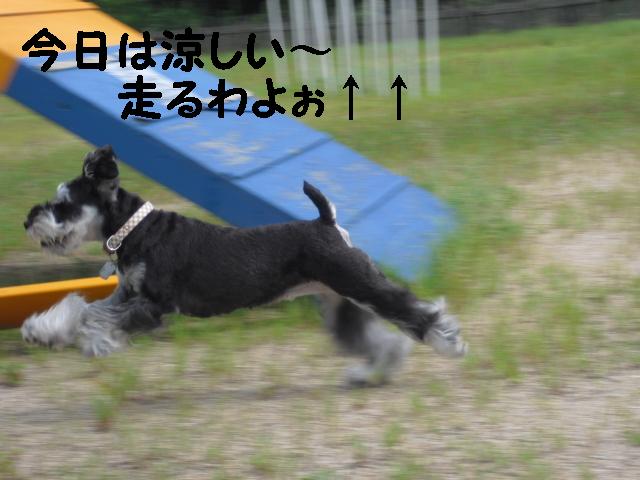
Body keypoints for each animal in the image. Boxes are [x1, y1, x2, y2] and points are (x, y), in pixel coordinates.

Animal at [21, 145, 467, 385]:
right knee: (378, 339)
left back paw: (451, 344)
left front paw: (94, 342)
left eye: (64, 204)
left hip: (361, 284)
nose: (28, 221)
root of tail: (326, 222)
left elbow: (93, 318)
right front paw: (42, 331)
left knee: (417, 312)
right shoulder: (127, 293)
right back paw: (373, 374)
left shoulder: (152, 305)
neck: (137, 229)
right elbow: (81, 306)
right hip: (341, 302)